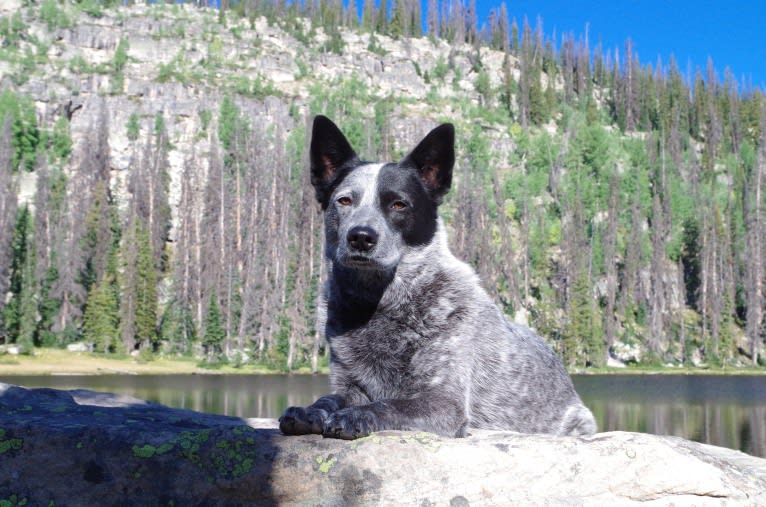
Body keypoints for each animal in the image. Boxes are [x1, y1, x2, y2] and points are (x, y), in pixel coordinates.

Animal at [280, 115, 596, 440]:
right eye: (344, 201)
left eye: (399, 204)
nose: (361, 237)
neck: (379, 304)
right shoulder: (350, 384)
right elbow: (330, 398)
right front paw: (310, 410)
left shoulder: (445, 402)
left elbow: (388, 405)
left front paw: (355, 416)